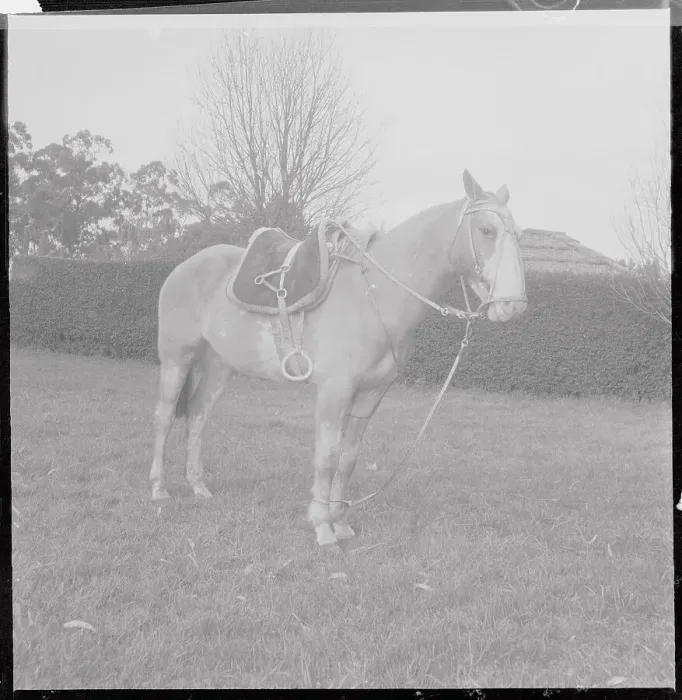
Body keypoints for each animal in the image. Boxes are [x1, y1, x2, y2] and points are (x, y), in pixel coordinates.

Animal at [150, 169, 528, 547]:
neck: (374, 294)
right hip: (176, 359)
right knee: (165, 416)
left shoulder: (370, 394)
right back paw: (158, 490)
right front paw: (322, 527)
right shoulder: (334, 391)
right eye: (486, 230)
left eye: (518, 234)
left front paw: (341, 523)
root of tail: (184, 267)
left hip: (218, 365)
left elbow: (348, 458)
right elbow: (327, 457)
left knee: (198, 414)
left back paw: (198, 486)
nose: (513, 305)